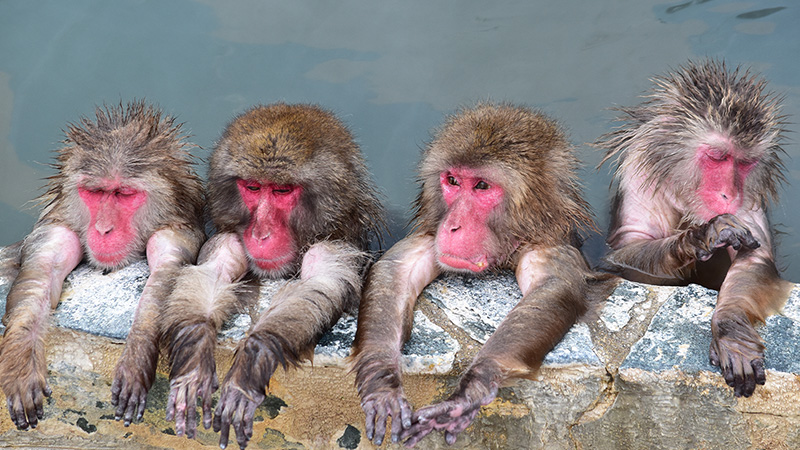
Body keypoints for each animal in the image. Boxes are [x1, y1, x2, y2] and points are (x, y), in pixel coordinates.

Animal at [0, 101, 205, 430]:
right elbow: (40, 276)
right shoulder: (57, 228)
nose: (103, 229)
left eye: (123, 194)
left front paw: (137, 354)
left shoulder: (177, 233)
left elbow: (167, 276)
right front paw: (20, 363)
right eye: (96, 192)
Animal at [159, 103, 384, 449]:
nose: (261, 233)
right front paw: (194, 356)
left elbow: (319, 283)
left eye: (282, 190)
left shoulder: (335, 244)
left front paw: (252, 358)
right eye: (253, 187)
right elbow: (214, 271)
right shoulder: (228, 238)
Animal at [351, 103, 606, 447]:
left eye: (482, 186)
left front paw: (471, 389)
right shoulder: (431, 234)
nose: (452, 226)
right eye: (453, 181)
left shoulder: (549, 245)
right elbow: (396, 268)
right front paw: (381, 380)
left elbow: (554, 287)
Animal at [596, 60, 794, 398]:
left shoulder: (751, 196)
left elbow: (754, 260)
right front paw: (699, 237)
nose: (729, 195)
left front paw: (732, 333)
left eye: (745, 164)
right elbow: (622, 255)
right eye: (718, 157)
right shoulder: (639, 176)